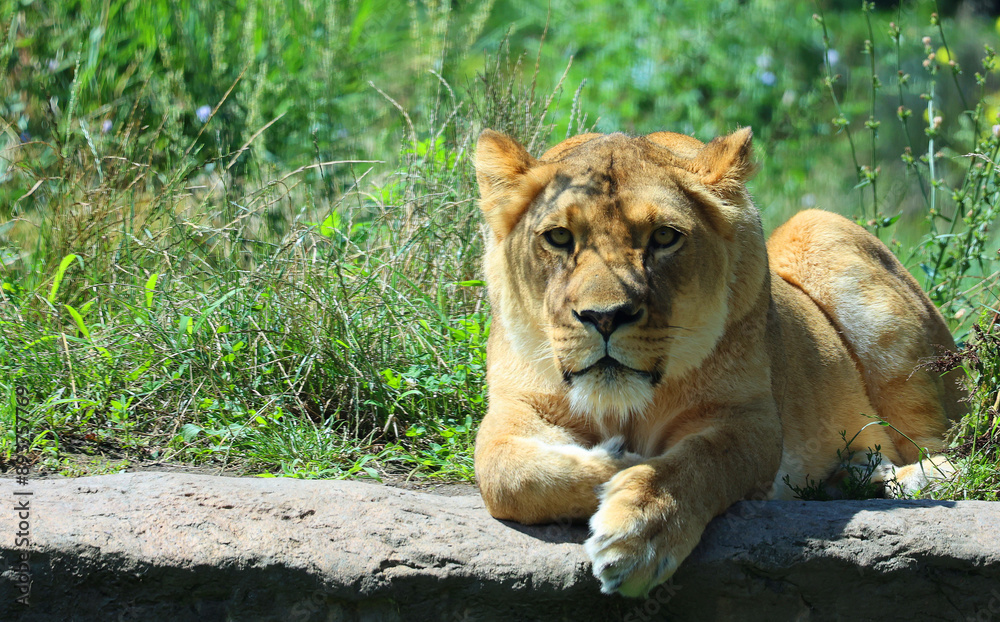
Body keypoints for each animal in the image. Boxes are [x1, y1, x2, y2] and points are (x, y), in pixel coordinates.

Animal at [471, 127, 966, 598]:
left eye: (664, 237)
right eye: (559, 237)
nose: (605, 317)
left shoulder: (751, 419)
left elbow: (697, 463)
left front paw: (638, 529)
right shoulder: (515, 407)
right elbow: (504, 474)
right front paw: (618, 463)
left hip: (821, 230)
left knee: (938, 444)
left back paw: (912, 478)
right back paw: (859, 474)